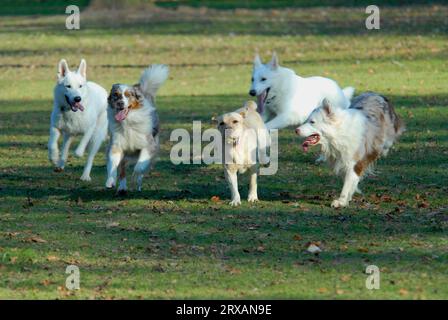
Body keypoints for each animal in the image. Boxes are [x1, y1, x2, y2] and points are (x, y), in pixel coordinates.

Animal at [104, 64, 168, 194]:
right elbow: (113, 164)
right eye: (116, 95)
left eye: (128, 95)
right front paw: (110, 181)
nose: (120, 103)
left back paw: (138, 184)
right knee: (122, 169)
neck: (128, 122)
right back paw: (122, 188)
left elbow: (140, 165)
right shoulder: (116, 145)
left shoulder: (149, 145)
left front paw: (135, 176)